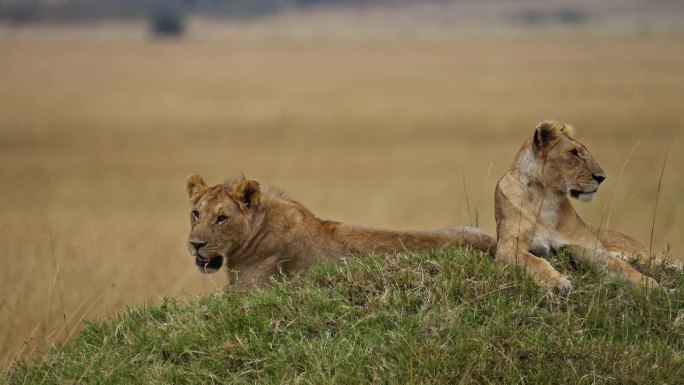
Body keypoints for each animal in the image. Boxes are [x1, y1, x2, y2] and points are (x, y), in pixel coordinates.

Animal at [492, 120, 680, 294]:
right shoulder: (508, 246)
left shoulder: (591, 249)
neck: (547, 198)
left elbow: (626, 268)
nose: (601, 177)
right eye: (573, 153)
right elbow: (534, 261)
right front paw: (557, 284)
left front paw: (654, 287)